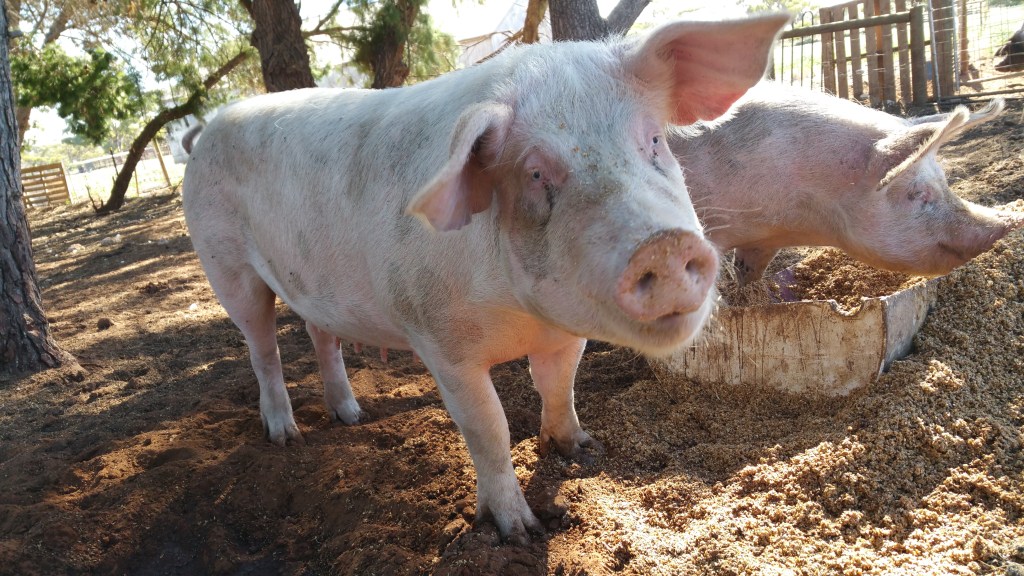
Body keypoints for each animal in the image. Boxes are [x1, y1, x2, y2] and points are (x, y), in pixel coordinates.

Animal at [181, 15, 790, 543]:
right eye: (536, 172)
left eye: (656, 142)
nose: (664, 245)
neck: (519, 317)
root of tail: (208, 128)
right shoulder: (439, 342)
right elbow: (489, 430)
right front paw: (518, 531)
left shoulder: (565, 333)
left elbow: (559, 387)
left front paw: (582, 449)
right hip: (225, 264)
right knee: (263, 349)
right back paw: (286, 436)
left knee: (320, 336)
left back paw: (353, 417)